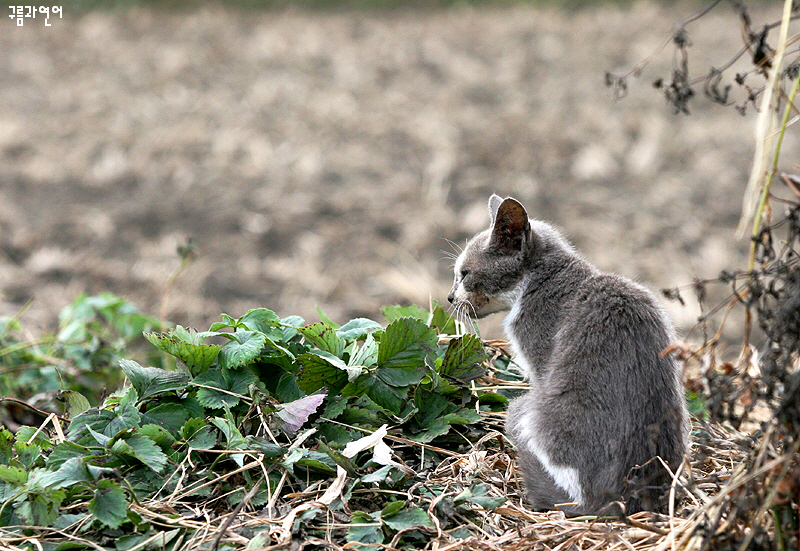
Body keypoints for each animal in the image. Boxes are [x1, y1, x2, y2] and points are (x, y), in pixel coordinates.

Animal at [446, 195, 692, 516]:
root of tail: (613, 503)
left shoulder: (538, 357)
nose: (450, 297)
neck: (541, 282)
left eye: (465, 273)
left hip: (536, 413)